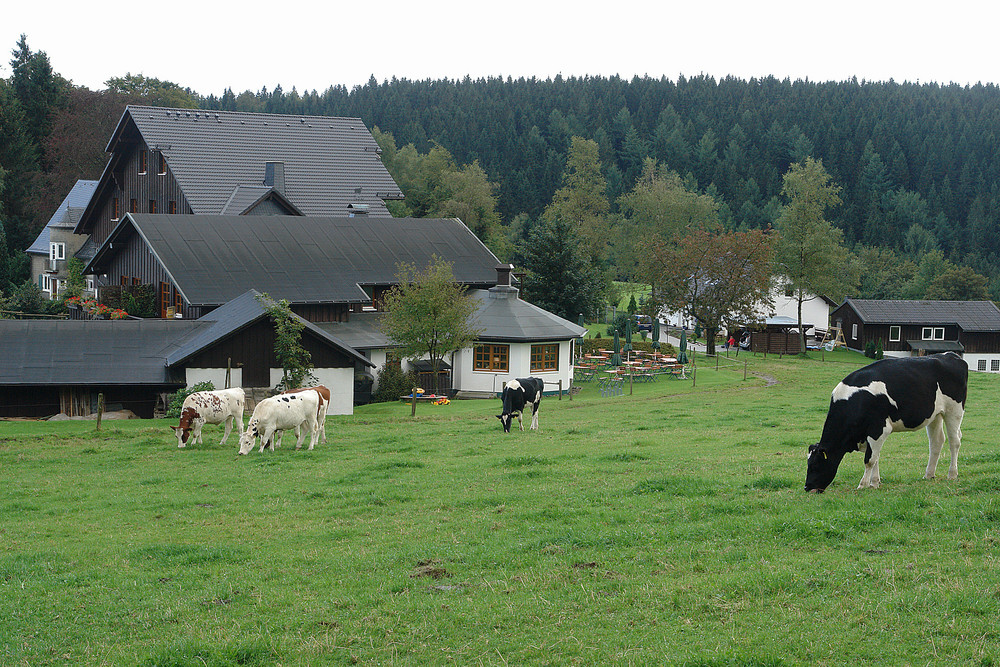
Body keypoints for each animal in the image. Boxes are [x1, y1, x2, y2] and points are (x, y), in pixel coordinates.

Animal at [808, 352, 964, 494]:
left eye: (816, 464)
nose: (806, 487)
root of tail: (950, 355)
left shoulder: (879, 429)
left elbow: (869, 460)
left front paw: (863, 484)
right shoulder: (870, 434)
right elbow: (875, 457)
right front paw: (874, 483)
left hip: (954, 411)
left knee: (954, 441)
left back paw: (952, 474)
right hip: (935, 415)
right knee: (936, 441)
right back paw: (929, 475)